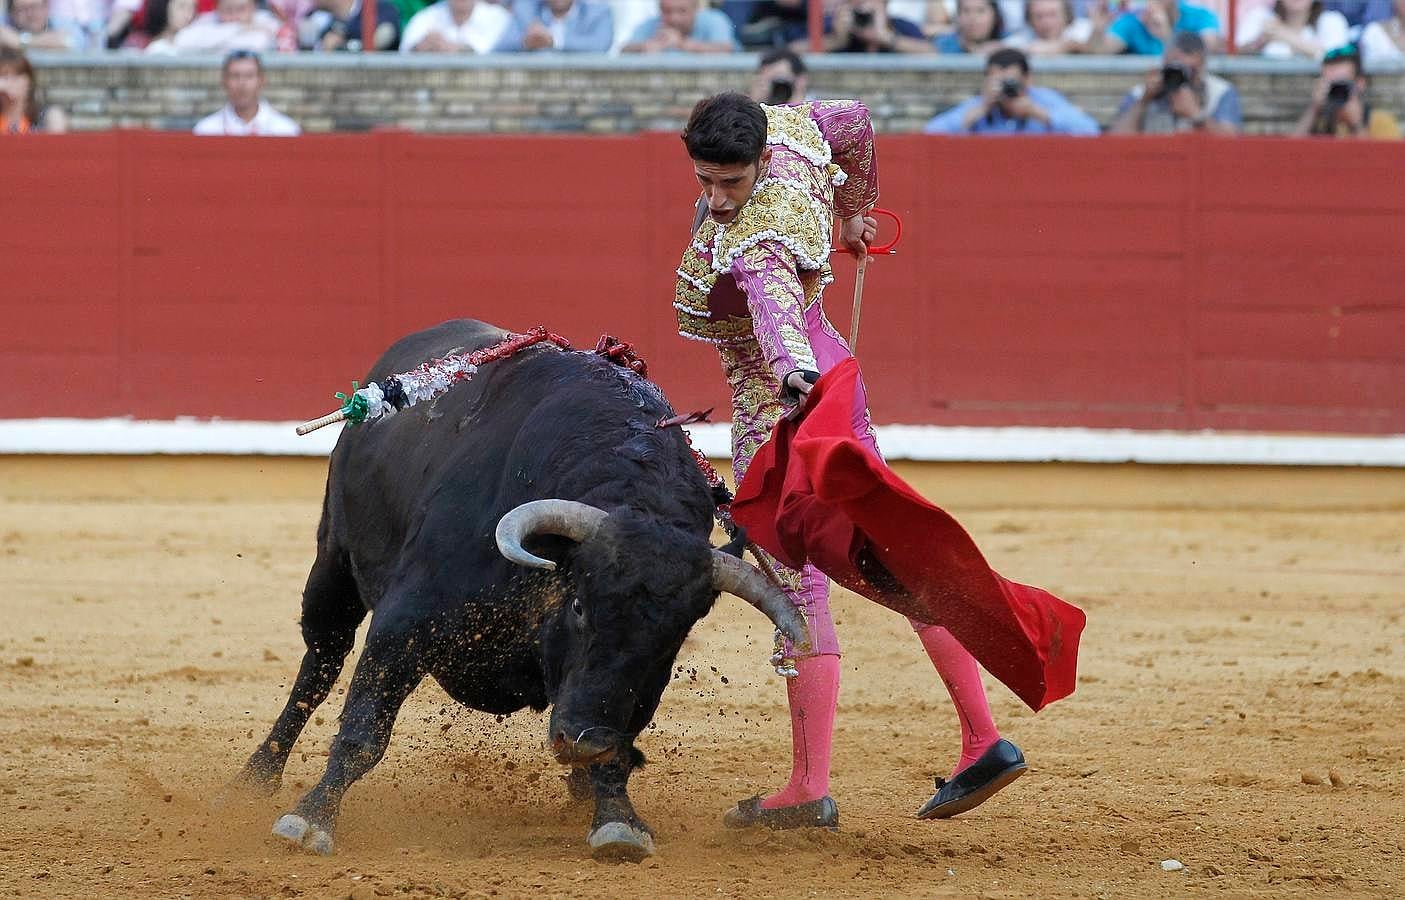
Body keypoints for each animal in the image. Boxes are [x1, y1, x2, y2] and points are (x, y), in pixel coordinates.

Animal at [237, 320, 809, 859]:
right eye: (578, 606)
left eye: (673, 640)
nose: (584, 742)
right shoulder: (405, 621)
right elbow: (363, 729)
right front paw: (310, 818)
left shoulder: (633, 689)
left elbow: (622, 743)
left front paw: (617, 819)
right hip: (333, 565)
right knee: (319, 668)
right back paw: (257, 776)